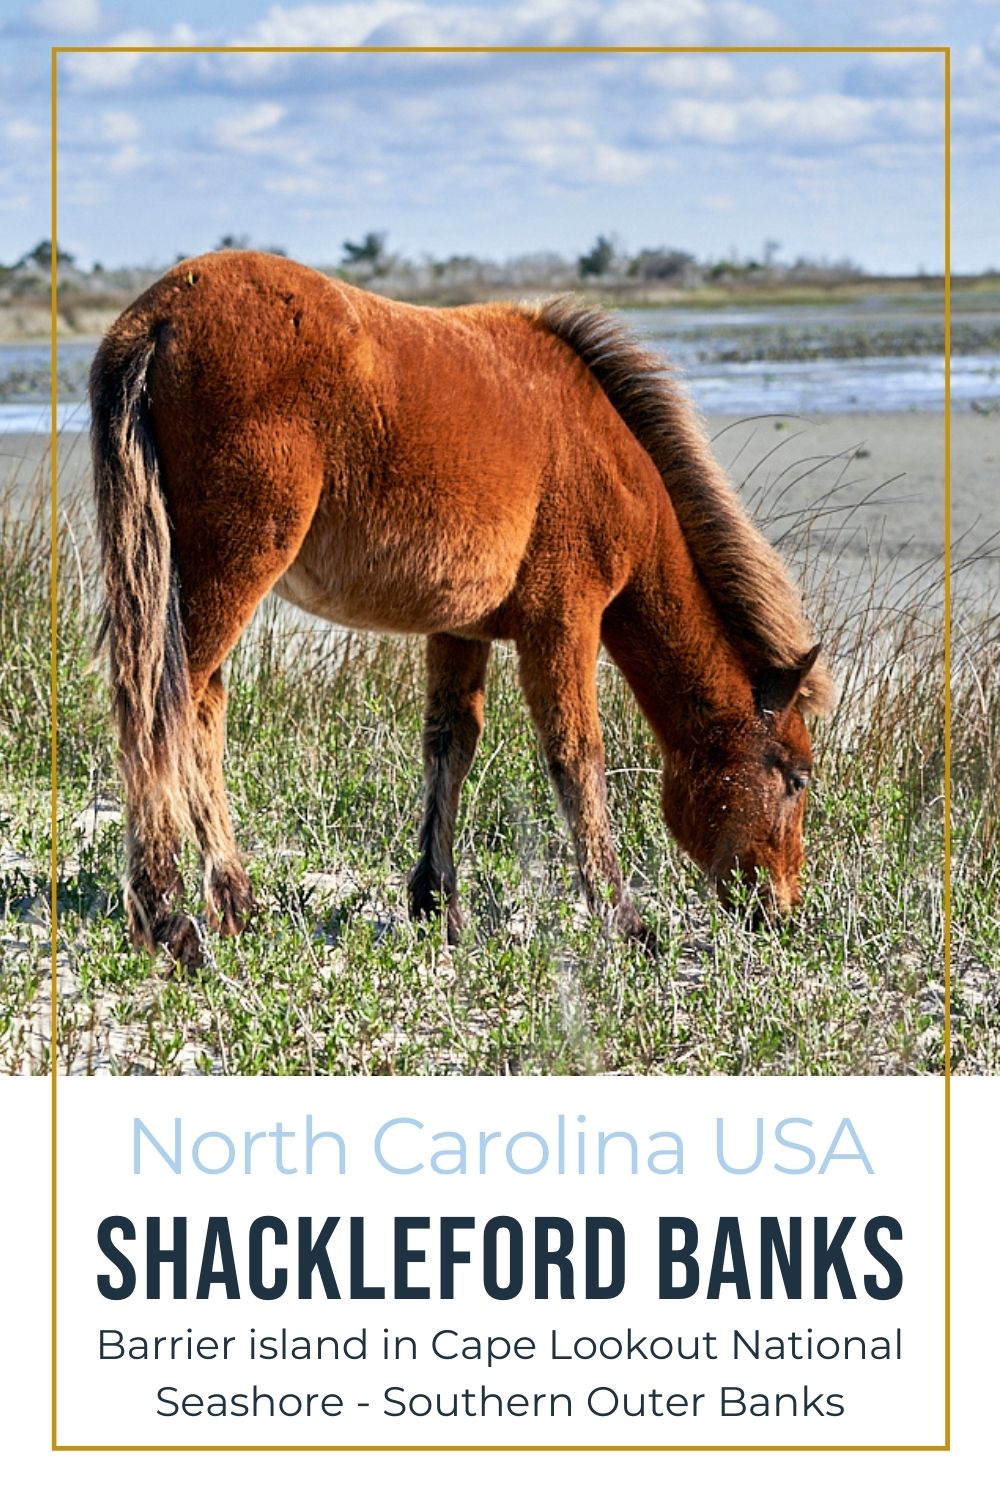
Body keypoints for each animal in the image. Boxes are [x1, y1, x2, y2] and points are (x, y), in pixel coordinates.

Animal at [90, 249, 833, 968]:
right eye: (796, 778)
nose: (780, 909)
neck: (605, 455)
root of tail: (158, 316)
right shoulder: (563, 621)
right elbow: (576, 756)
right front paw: (626, 923)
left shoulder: (458, 629)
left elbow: (450, 744)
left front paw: (436, 906)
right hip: (229, 572)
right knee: (163, 711)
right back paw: (168, 918)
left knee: (201, 713)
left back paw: (235, 902)